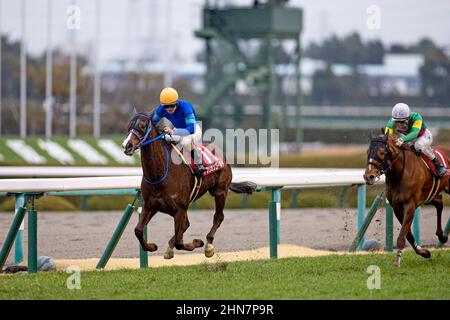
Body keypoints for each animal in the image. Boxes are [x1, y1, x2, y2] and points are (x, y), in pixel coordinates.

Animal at [122, 111, 256, 258]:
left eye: (142, 125)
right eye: (128, 125)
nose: (127, 145)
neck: (160, 173)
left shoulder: (180, 209)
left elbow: (179, 242)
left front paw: (198, 242)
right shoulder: (150, 205)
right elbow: (138, 230)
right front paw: (152, 246)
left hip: (220, 191)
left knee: (218, 217)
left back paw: (208, 245)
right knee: (185, 226)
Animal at [364, 132, 448, 268]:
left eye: (382, 152)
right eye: (368, 151)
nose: (368, 176)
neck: (399, 174)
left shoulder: (410, 204)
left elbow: (403, 233)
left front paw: (397, 260)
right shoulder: (397, 206)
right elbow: (408, 234)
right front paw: (424, 252)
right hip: (429, 196)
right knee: (439, 203)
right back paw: (442, 236)